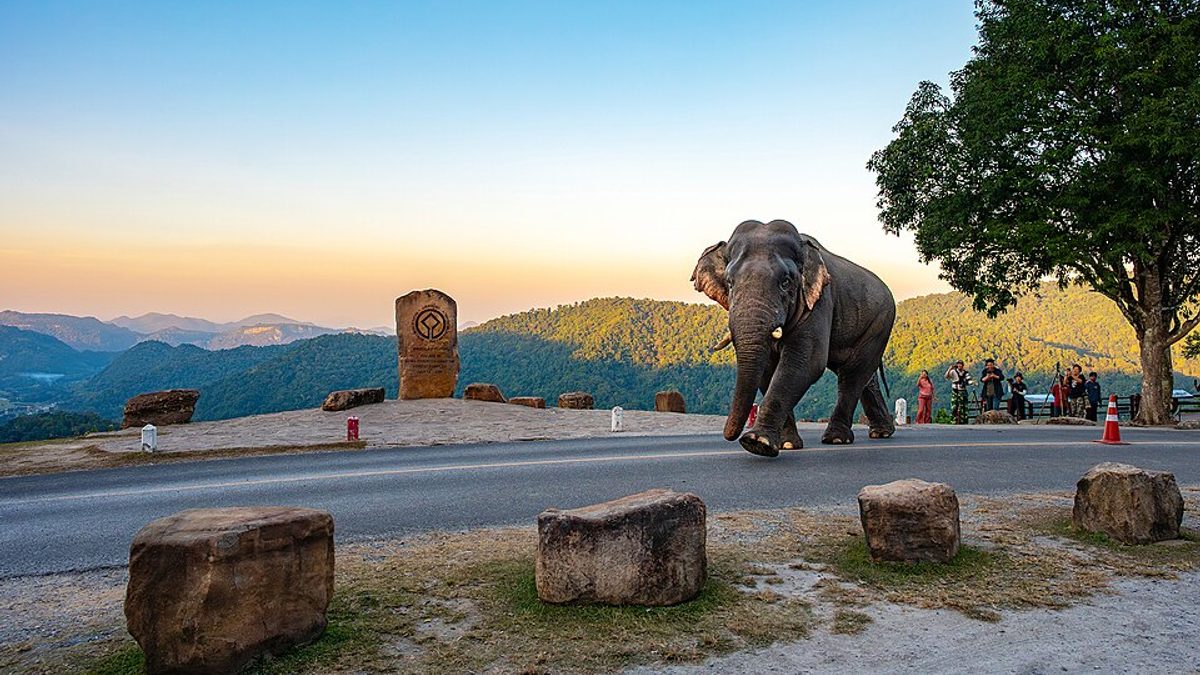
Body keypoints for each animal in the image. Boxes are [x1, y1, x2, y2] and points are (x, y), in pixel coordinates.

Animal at [691, 219, 896, 457]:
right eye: (730, 282)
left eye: (786, 282)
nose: (730, 436)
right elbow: (768, 368)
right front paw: (785, 444)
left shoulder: (819, 301)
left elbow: (805, 362)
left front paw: (756, 443)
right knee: (863, 375)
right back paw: (881, 433)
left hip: (881, 323)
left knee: (853, 374)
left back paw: (837, 439)